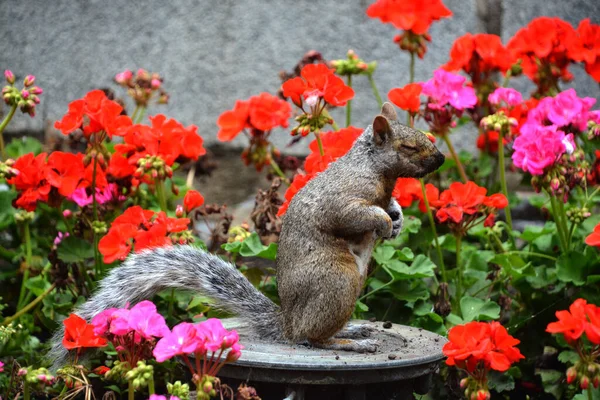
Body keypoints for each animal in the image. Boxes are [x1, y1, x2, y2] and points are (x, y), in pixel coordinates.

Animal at [47, 101, 442, 368]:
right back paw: (347, 343)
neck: (376, 171)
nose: (439, 160)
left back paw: (353, 331)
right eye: (408, 147)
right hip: (337, 280)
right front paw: (383, 222)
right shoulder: (343, 198)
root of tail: (287, 323)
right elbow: (353, 214)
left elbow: (391, 207)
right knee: (311, 338)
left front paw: (397, 218)